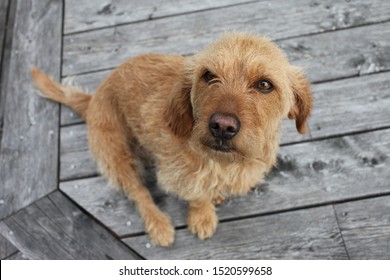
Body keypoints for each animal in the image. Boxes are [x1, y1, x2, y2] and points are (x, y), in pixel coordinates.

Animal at [31, 33, 310, 247]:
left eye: (265, 84)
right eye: (209, 75)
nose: (222, 126)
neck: (223, 162)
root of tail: (93, 99)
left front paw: (214, 197)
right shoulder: (179, 175)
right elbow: (196, 195)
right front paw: (202, 216)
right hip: (116, 157)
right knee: (139, 193)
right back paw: (159, 225)